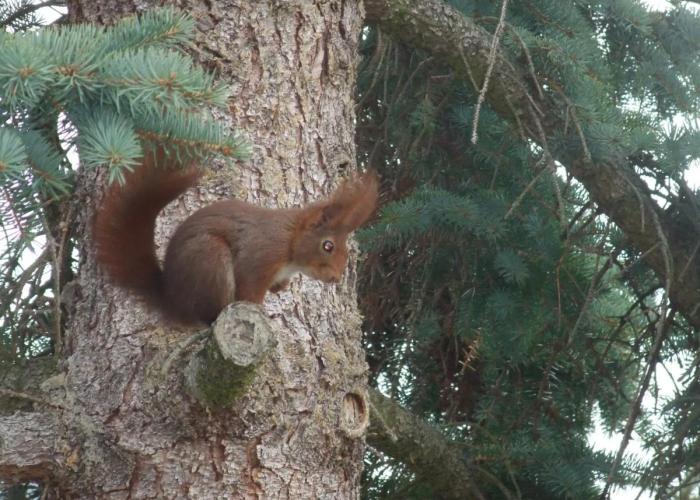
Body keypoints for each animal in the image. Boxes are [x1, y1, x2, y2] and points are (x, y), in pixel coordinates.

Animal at [93, 149, 378, 326]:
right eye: (327, 246)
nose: (335, 278)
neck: (290, 244)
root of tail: (172, 299)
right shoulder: (262, 255)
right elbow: (249, 288)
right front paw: (261, 311)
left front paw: (280, 289)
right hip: (210, 258)